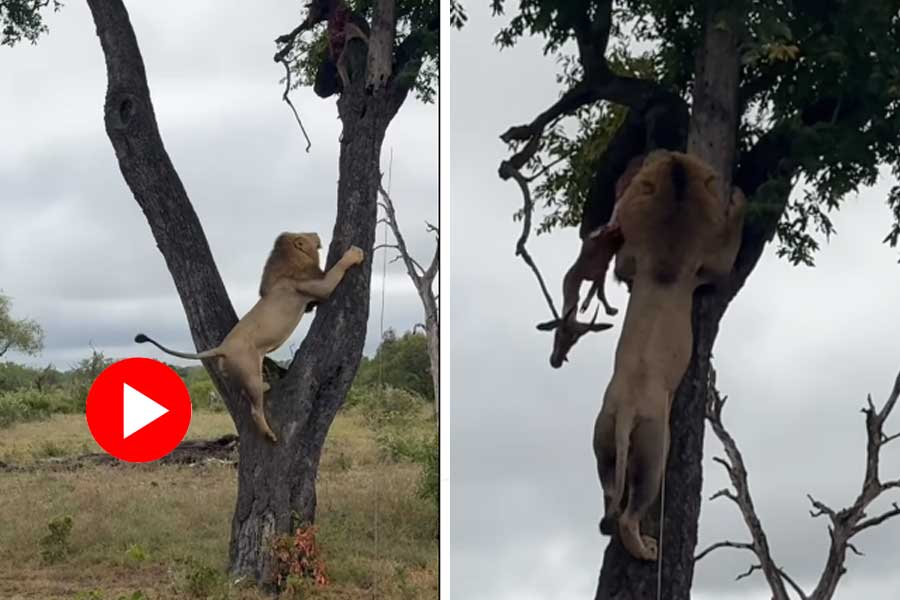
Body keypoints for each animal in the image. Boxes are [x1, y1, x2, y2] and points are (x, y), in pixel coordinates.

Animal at [135, 232, 364, 443]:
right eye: (305, 235)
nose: (317, 234)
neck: (289, 263)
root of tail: (222, 348)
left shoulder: (310, 301)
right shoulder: (316, 288)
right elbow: (336, 270)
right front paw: (355, 253)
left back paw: (267, 388)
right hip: (250, 369)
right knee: (254, 408)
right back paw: (269, 433)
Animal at [591, 151, 745, 560]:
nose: (671, 154)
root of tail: (626, 411)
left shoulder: (631, 261)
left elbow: (622, 262)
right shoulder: (710, 266)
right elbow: (732, 241)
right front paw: (739, 198)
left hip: (603, 439)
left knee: (610, 495)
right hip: (654, 448)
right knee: (628, 514)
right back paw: (646, 549)